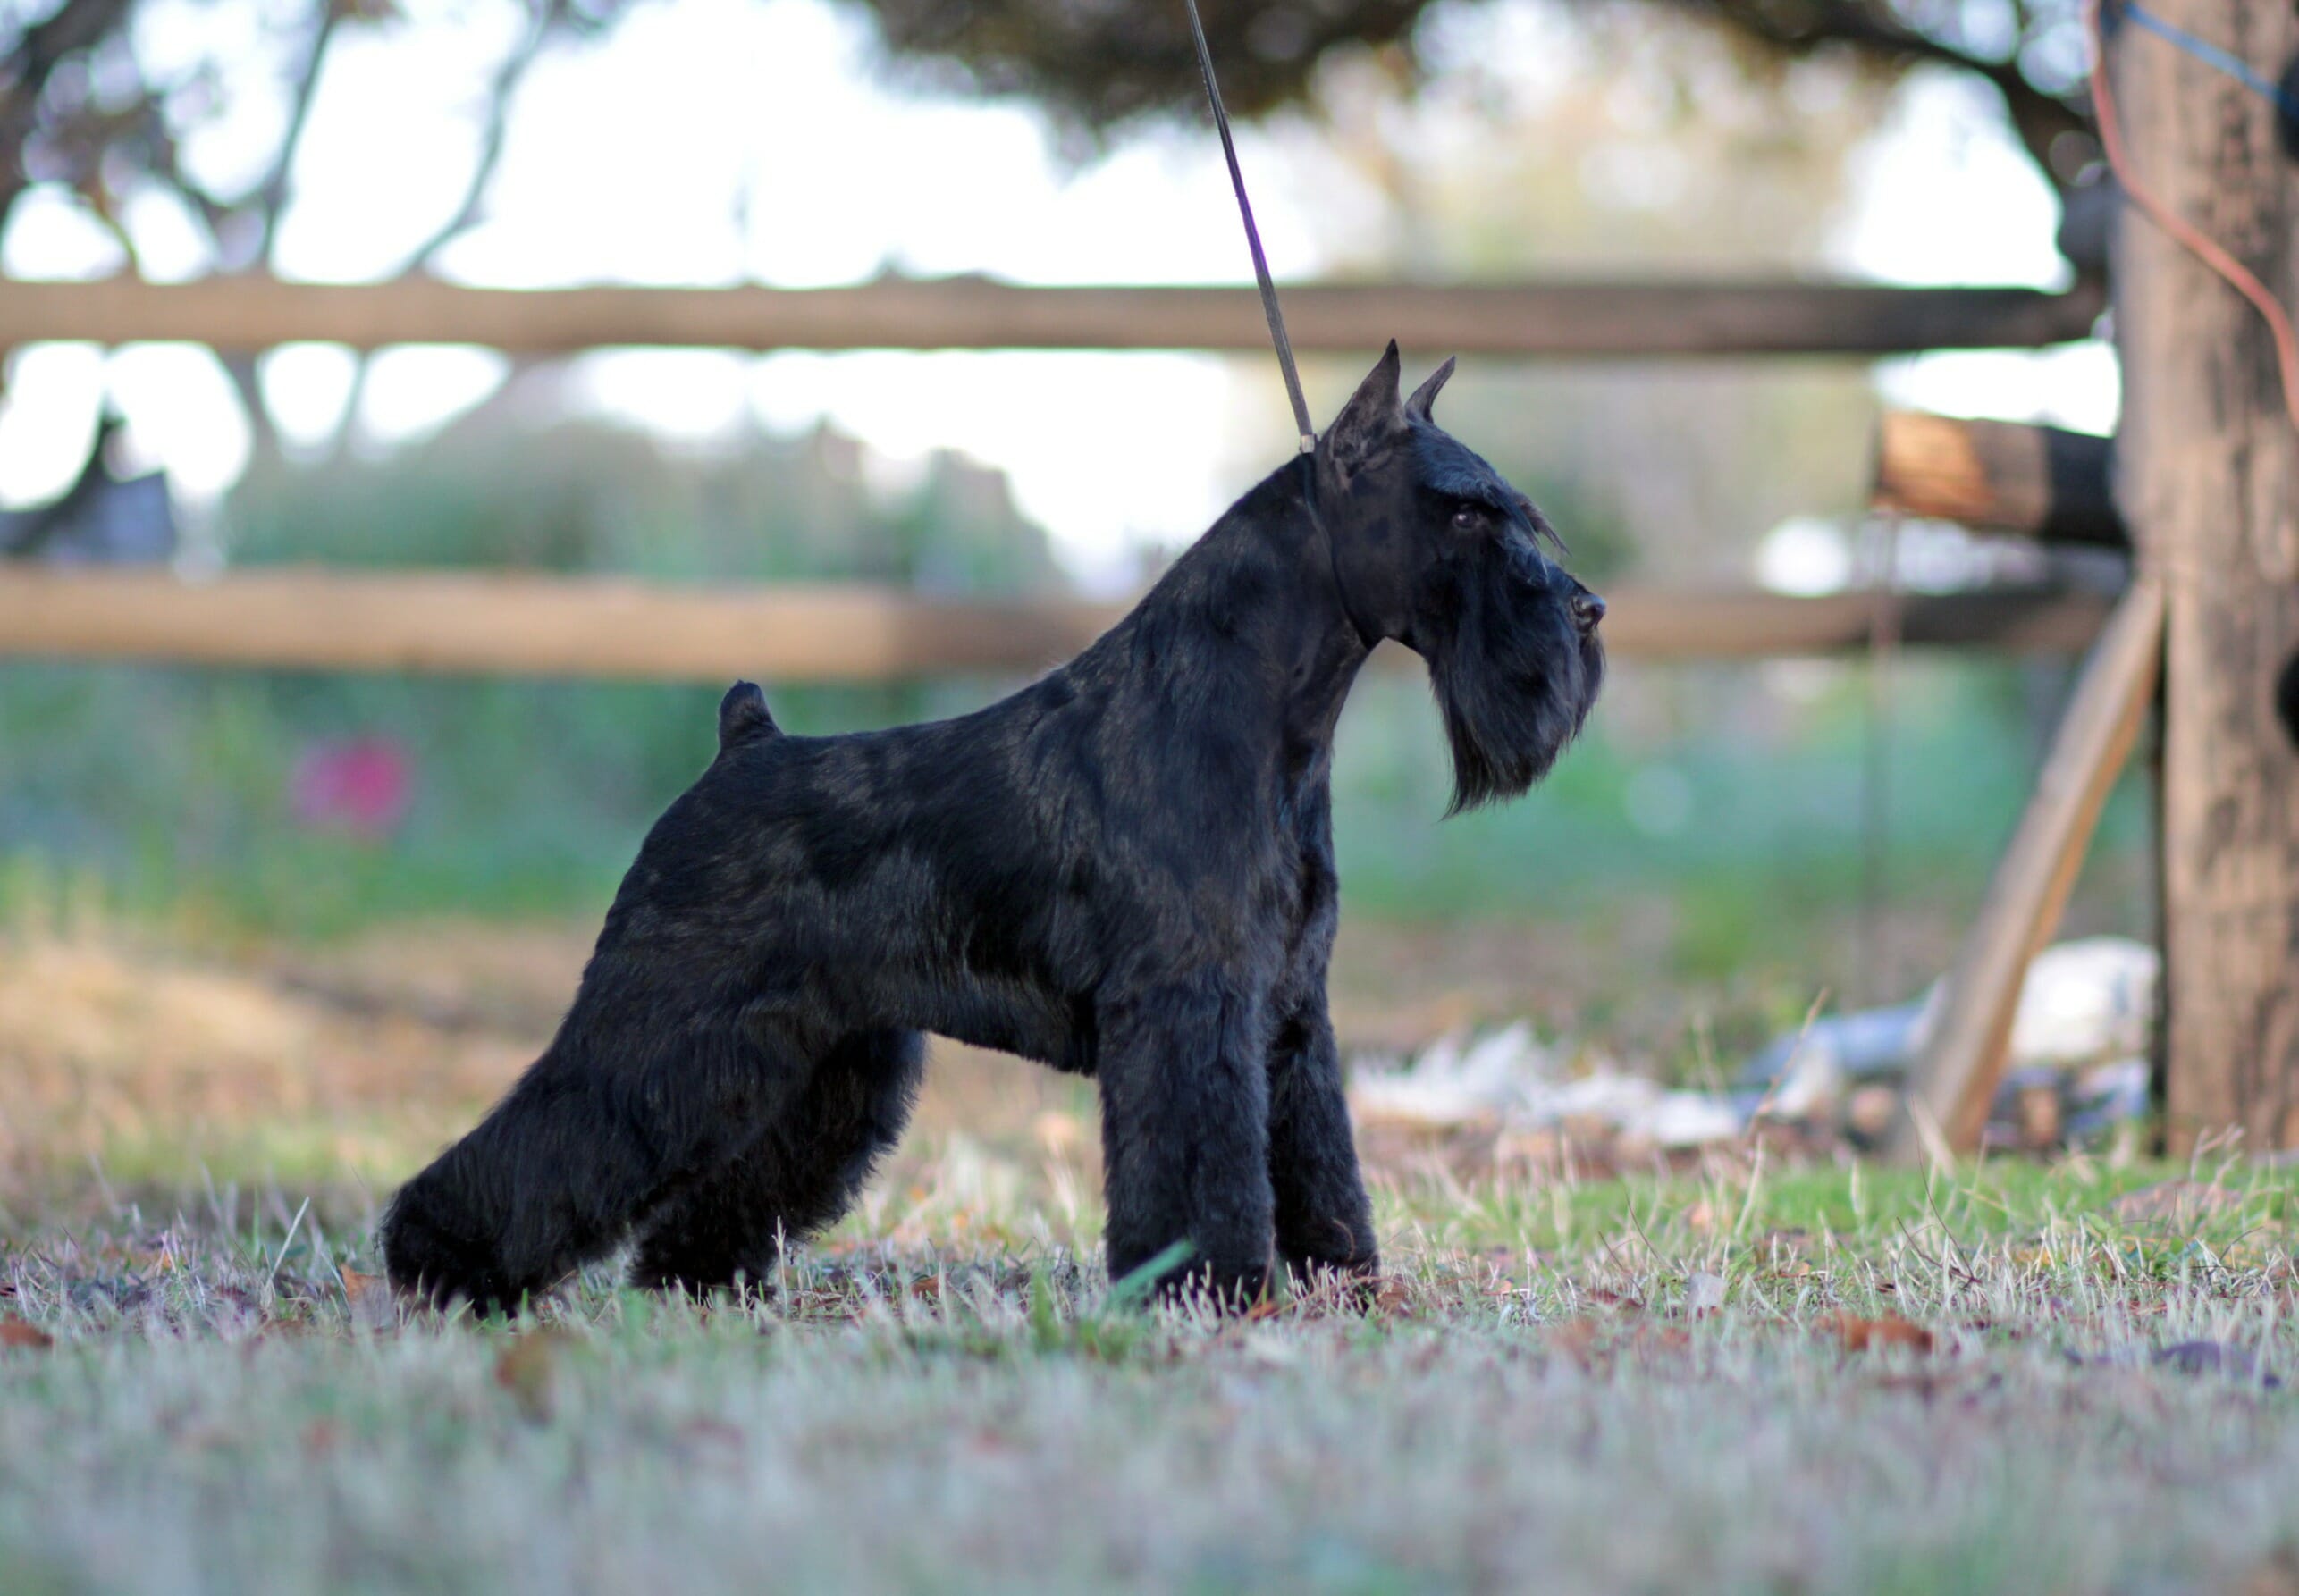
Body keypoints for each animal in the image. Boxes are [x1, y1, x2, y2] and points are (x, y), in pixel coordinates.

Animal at [381, 347, 1600, 1315]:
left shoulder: (1291, 1014)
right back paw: (441, 1265)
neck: (1258, 721)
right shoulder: (1187, 1005)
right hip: (665, 1015)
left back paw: (693, 1281)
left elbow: (1318, 1164)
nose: (1586, 611)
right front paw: (1208, 1288)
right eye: (1463, 512)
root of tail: (743, 740)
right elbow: (1202, 1164)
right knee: (560, 1127)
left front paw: (1336, 1280)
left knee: (730, 1175)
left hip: (817, 1053)